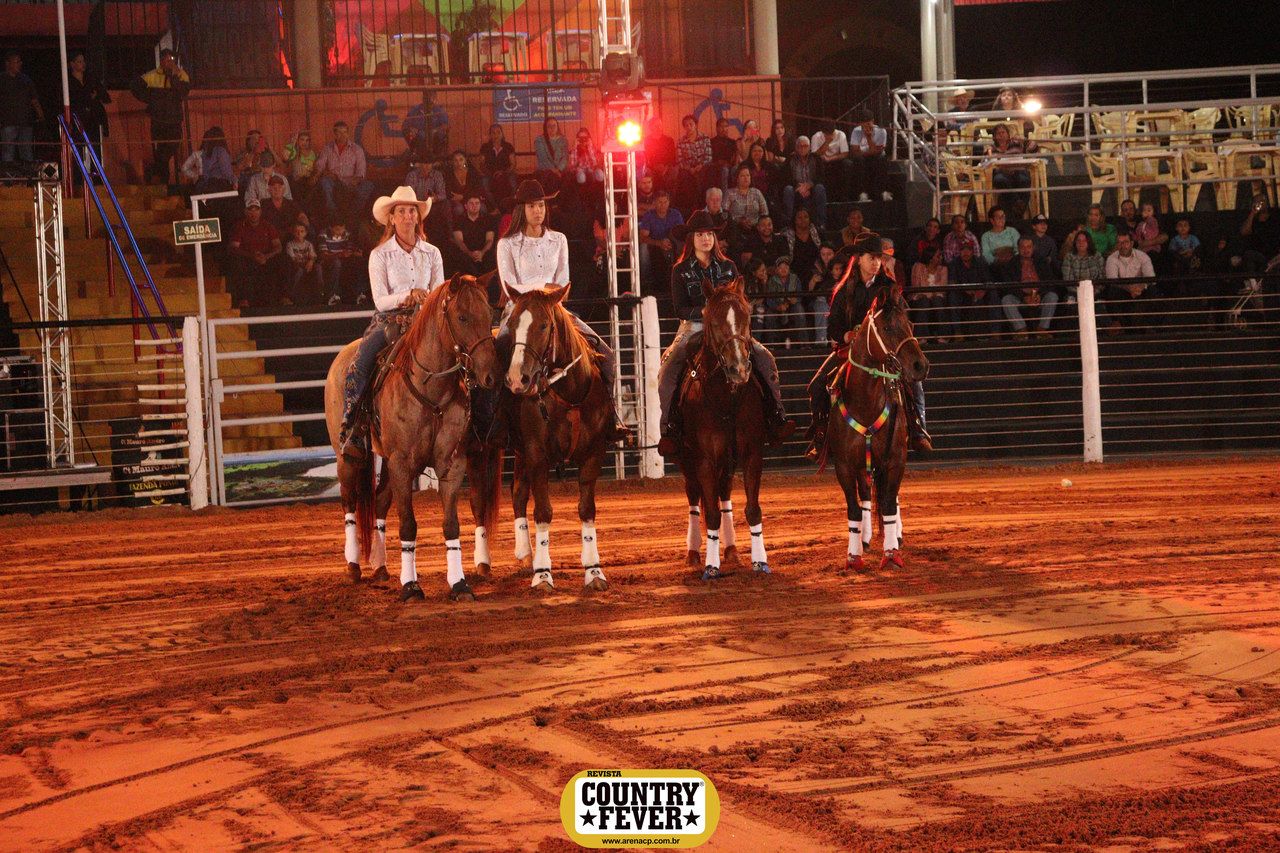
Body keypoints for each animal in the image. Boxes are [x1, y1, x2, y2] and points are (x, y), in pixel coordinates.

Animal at [323, 273, 499, 602]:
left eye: (490, 314)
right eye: (462, 316)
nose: (490, 375)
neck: (431, 389)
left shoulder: (450, 464)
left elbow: (451, 525)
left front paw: (459, 583)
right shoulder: (402, 464)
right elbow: (407, 525)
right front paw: (411, 586)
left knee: (379, 502)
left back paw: (380, 566)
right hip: (349, 458)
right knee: (349, 501)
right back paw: (353, 565)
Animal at [470, 282, 613, 592]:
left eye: (545, 325)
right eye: (513, 325)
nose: (516, 380)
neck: (569, 394)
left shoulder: (593, 454)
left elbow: (587, 509)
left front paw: (594, 571)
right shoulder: (538, 454)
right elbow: (544, 512)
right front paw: (543, 574)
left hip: (520, 451)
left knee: (518, 494)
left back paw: (526, 555)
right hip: (475, 448)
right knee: (478, 501)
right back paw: (483, 561)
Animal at [670, 277, 772, 581]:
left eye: (747, 317)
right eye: (713, 322)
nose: (739, 369)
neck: (727, 398)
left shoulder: (751, 454)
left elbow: (752, 509)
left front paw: (760, 561)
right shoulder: (703, 459)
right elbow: (711, 513)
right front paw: (711, 566)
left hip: (727, 462)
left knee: (724, 494)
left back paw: (731, 549)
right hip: (686, 461)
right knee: (694, 498)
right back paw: (693, 553)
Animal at [825, 289, 929, 571]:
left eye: (910, 324)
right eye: (887, 327)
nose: (920, 365)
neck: (865, 403)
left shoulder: (895, 460)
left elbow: (889, 503)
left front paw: (891, 553)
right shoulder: (844, 466)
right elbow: (854, 508)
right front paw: (853, 556)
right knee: (865, 497)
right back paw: (865, 538)